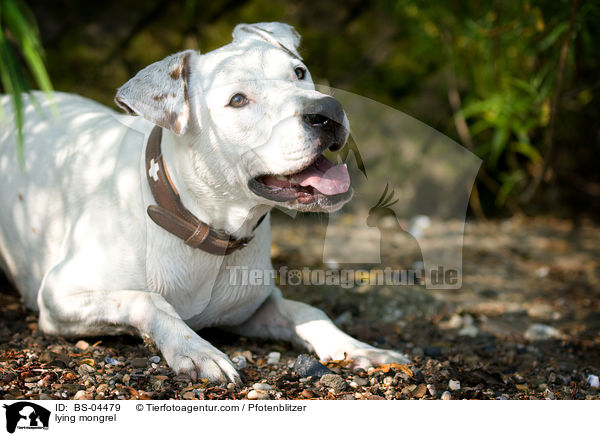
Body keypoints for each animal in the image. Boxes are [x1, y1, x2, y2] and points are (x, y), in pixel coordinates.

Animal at [1, 22, 408, 384]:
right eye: (238, 100)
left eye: (299, 72)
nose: (328, 111)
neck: (207, 226)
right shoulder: (58, 297)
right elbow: (149, 300)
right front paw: (196, 349)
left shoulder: (253, 305)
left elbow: (309, 311)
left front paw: (359, 348)